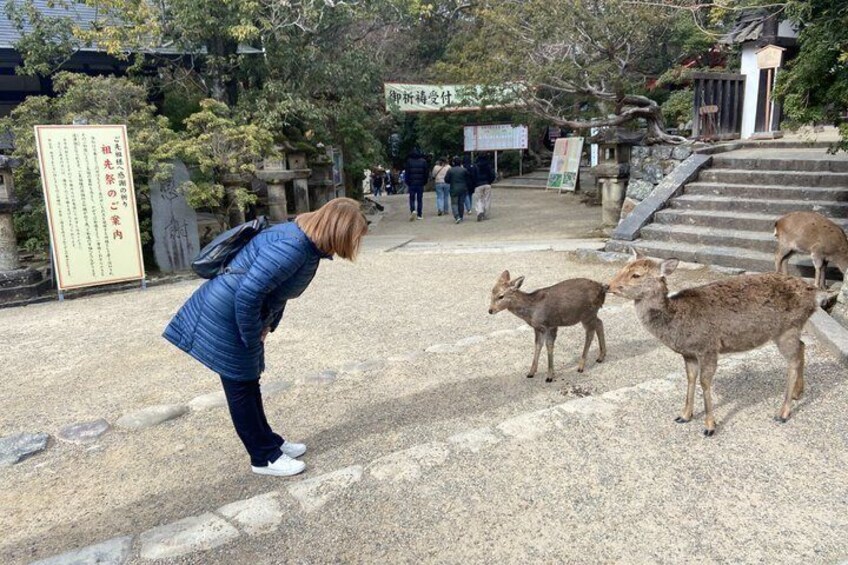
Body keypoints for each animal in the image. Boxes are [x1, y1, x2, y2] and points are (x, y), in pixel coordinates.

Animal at [608, 250, 818, 436]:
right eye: (623, 268)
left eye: (636, 275)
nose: (608, 286)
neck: (677, 323)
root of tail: (814, 296)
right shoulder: (689, 354)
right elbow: (690, 378)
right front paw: (684, 416)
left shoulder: (708, 347)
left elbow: (705, 382)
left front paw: (709, 426)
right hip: (789, 330)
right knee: (802, 347)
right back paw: (798, 393)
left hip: (787, 329)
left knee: (793, 361)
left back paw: (783, 412)